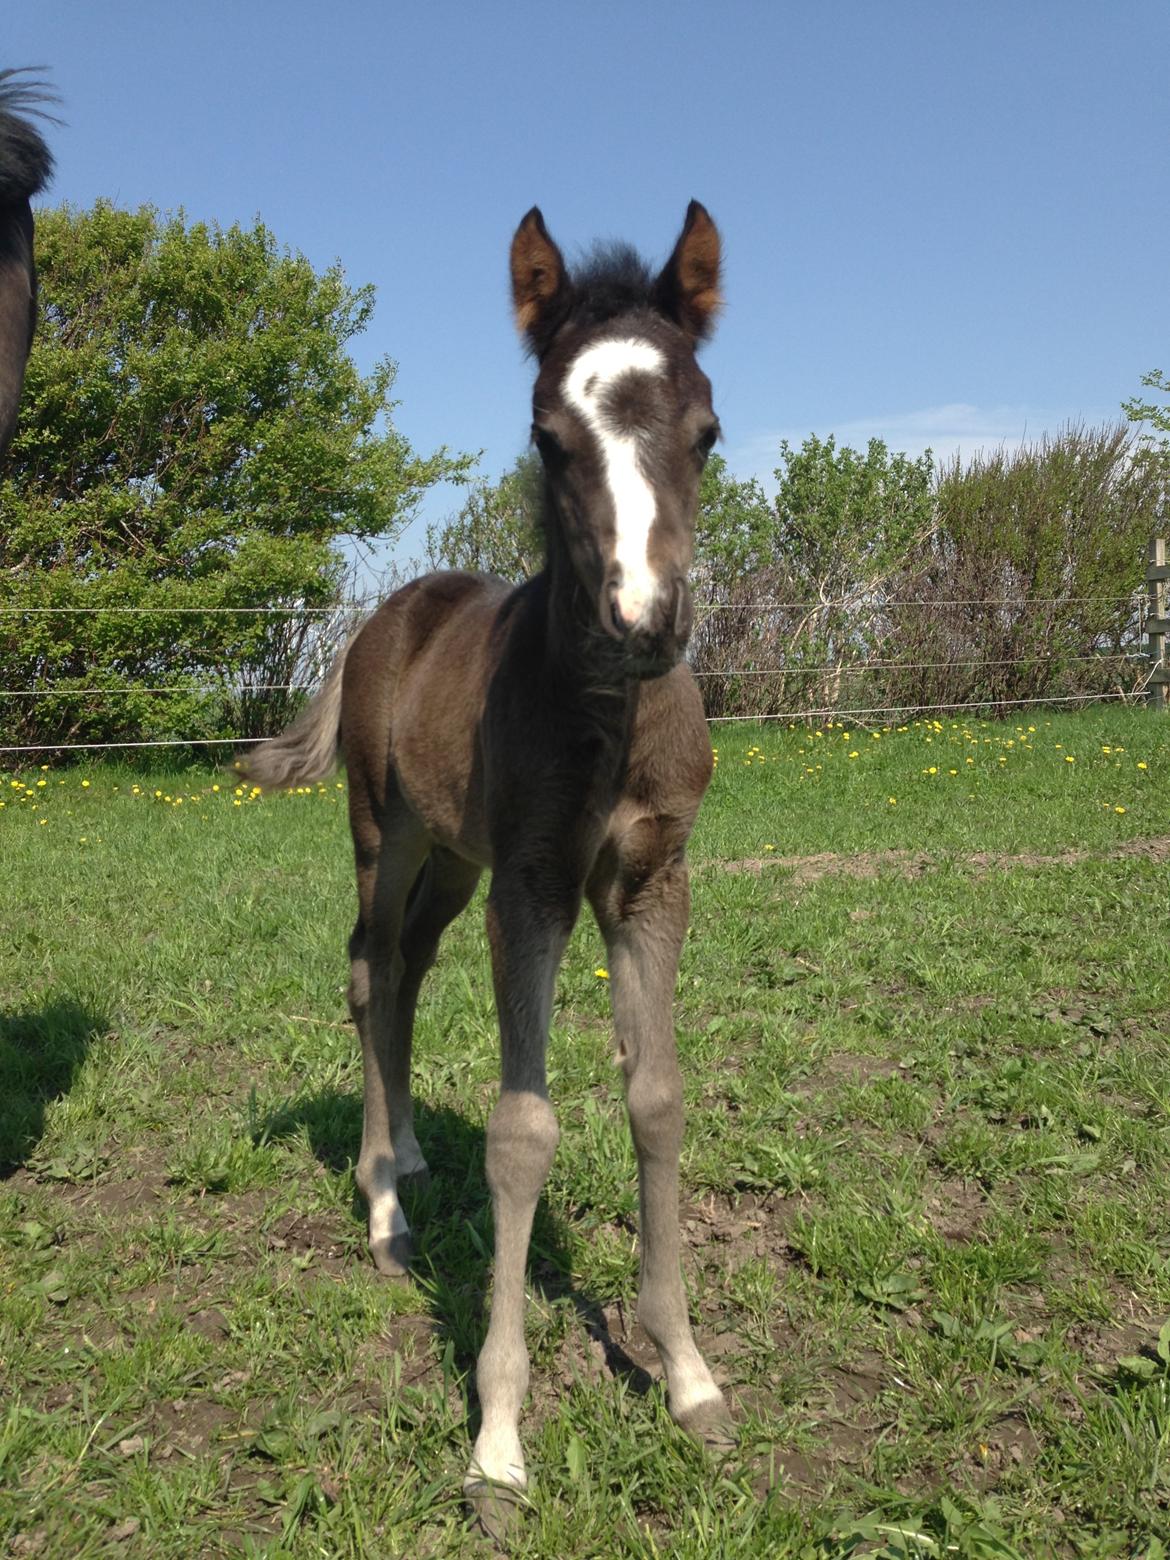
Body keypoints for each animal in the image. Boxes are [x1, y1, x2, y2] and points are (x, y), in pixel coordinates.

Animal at [244, 201, 733, 1528]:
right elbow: (524, 1133)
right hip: (388, 830)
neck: (607, 718)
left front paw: (687, 1373)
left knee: (410, 968)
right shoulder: (535, 889)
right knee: (369, 968)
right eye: (547, 437)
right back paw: (384, 1208)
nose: (641, 622)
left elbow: (657, 1099)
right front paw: (499, 1440)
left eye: (707, 431)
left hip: (455, 862)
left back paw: (410, 1151)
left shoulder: (649, 885)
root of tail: (387, 612)